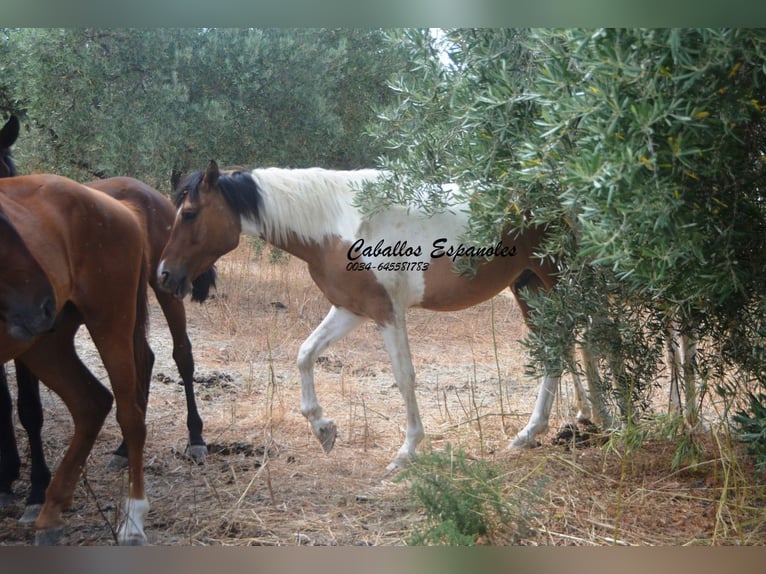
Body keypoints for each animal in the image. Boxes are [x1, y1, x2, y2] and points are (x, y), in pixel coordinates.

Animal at [0, 175, 152, 545]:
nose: (42, 302)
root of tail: (121, 208)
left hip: (111, 324)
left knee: (130, 416)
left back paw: (133, 518)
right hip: (44, 346)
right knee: (91, 402)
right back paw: (52, 510)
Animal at [157, 160, 572, 472]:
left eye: (189, 213)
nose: (164, 275)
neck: (339, 222)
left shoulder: (388, 313)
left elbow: (404, 378)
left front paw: (406, 452)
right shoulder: (350, 309)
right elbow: (305, 354)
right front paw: (323, 429)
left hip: (558, 281)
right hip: (529, 287)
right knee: (559, 351)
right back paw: (545, 429)